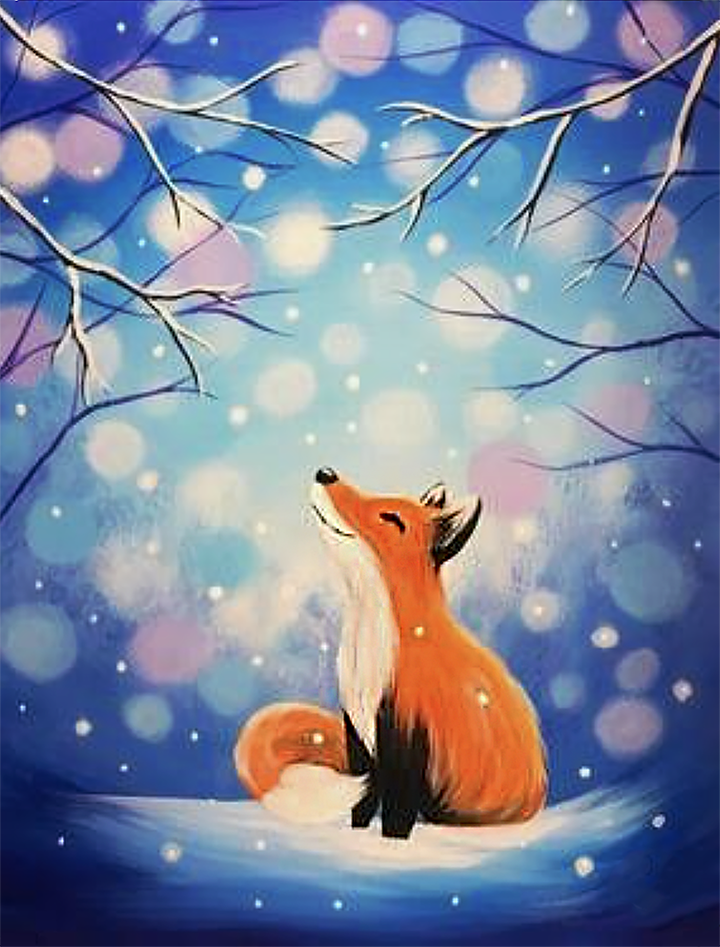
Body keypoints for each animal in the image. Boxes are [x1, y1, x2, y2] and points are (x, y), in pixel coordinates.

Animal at [234, 468, 547, 839]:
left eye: (391, 518)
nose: (326, 473)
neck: (370, 657)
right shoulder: (357, 734)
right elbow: (362, 804)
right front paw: (355, 837)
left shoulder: (407, 738)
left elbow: (396, 815)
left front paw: (389, 846)